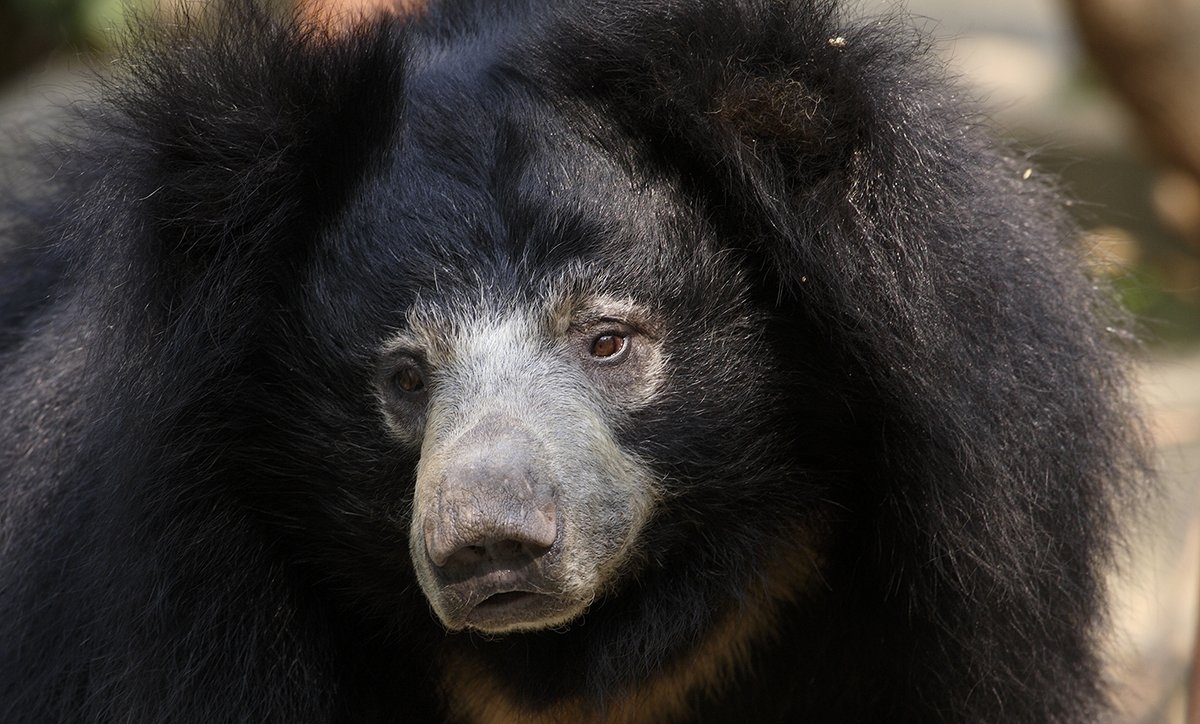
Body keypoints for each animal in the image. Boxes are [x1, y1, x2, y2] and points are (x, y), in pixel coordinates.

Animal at [0, 0, 1146, 721]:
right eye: (404, 377)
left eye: (607, 339)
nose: (489, 544)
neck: (580, 652)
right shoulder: (156, 577)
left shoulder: (963, 561)